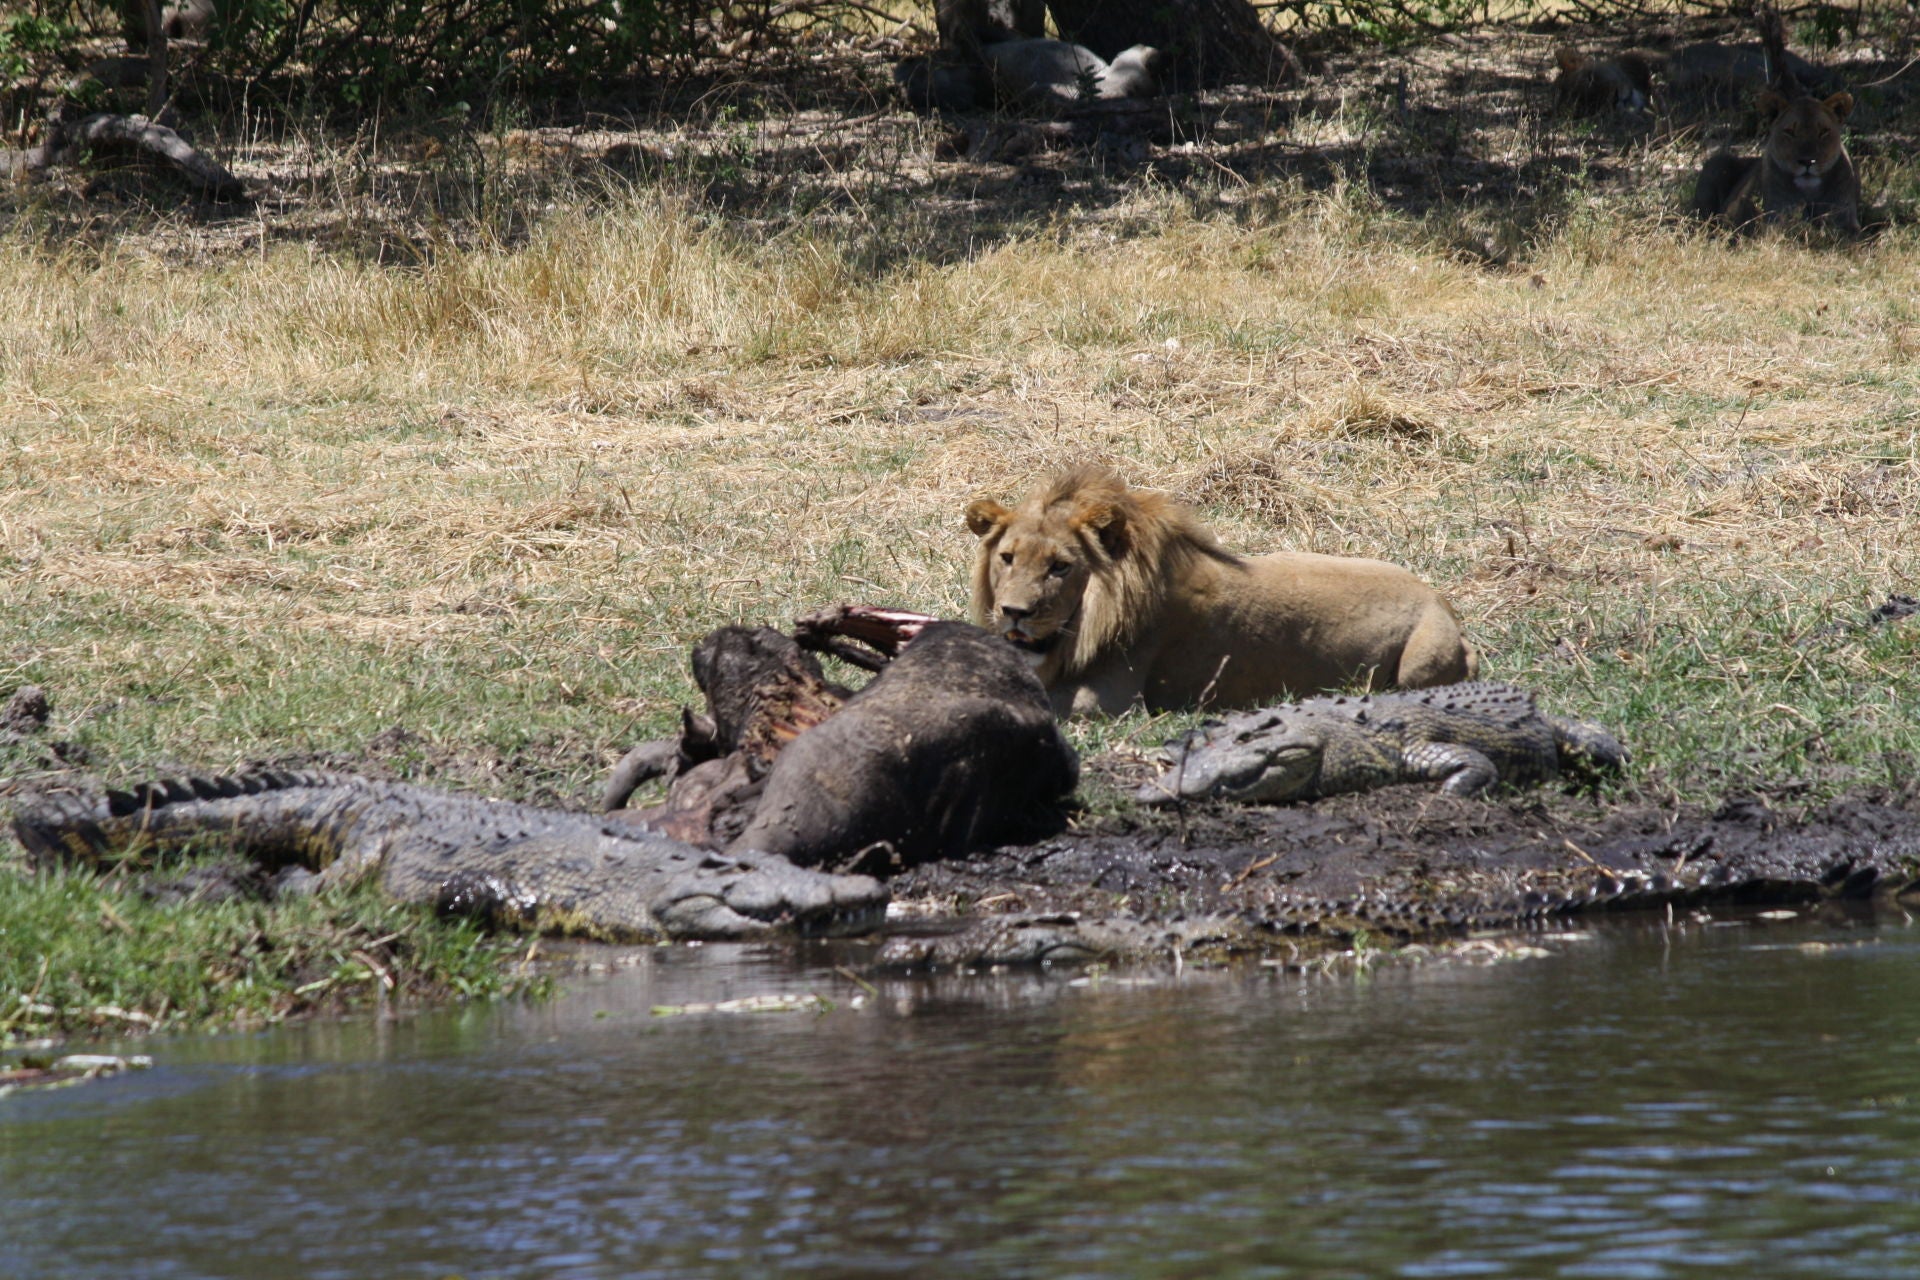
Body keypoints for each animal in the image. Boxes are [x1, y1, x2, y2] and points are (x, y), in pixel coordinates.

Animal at [964, 465, 1477, 717]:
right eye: (1007, 558)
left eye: (1060, 567)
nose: (1014, 611)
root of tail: (1442, 603)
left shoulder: (1111, 700)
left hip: (1420, 661)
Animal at [1691, 89, 1859, 236]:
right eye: (1790, 131)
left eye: (1823, 131)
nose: (1807, 161)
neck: (1809, 192)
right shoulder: (1774, 222)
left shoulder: (1846, 221)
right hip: (1717, 163)